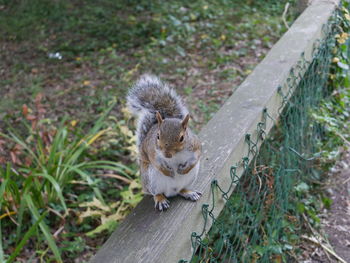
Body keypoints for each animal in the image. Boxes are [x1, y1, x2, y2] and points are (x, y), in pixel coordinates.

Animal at [127, 75, 201, 212]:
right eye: (158, 136)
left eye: (182, 138)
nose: (167, 154)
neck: (176, 155)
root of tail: (172, 191)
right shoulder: (152, 150)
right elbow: (155, 161)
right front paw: (168, 172)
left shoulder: (195, 145)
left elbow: (197, 156)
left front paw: (184, 169)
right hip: (151, 179)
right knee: (157, 193)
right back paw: (160, 199)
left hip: (190, 177)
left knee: (181, 190)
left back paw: (188, 192)